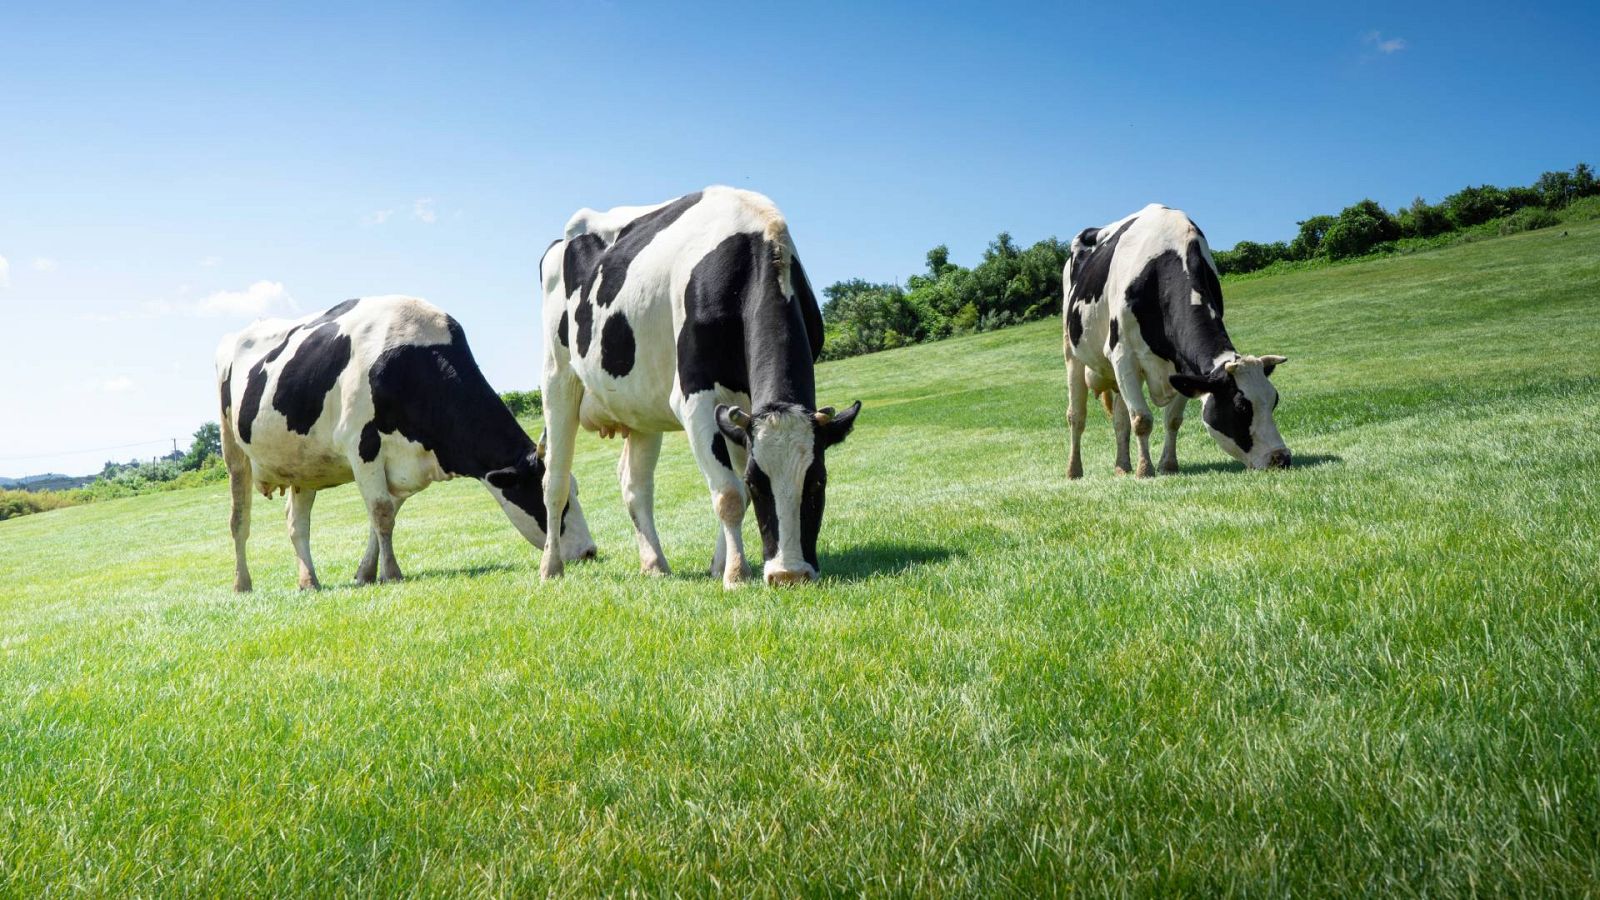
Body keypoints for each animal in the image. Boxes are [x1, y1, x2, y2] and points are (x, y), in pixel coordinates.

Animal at [215, 295, 596, 591]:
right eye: (553, 501)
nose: (590, 551)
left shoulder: (404, 464)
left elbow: (381, 516)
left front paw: (366, 573)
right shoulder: (362, 445)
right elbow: (382, 513)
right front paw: (392, 573)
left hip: (302, 465)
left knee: (297, 524)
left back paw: (309, 581)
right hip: (233, 449)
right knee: (238, 520)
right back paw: (242, 583)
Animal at [537, 186, 861, 587]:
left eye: (818, 481)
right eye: (758, 482)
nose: (789, 574)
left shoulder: (741, 409)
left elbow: (733, 487)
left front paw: (721, 565)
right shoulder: (694, 399)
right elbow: (729, 493)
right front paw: (736, 574)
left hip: (640, 404)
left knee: (634, 485)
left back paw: (655, 564)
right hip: (557, 377)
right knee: (555, 482)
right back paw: (551, 567)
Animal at [1063, 204, 1291, 477]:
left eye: (1274, 400)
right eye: (1241, 408)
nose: (1281, 458)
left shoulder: (1183, 366)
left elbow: (1172, 419)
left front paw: (1168, 465)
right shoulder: (1122, 355)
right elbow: (1142, 419)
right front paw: (1145, 470)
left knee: (1120, 419)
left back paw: (1122, 466)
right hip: (1072, 351)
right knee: (1077, 416)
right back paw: (1074, 470)